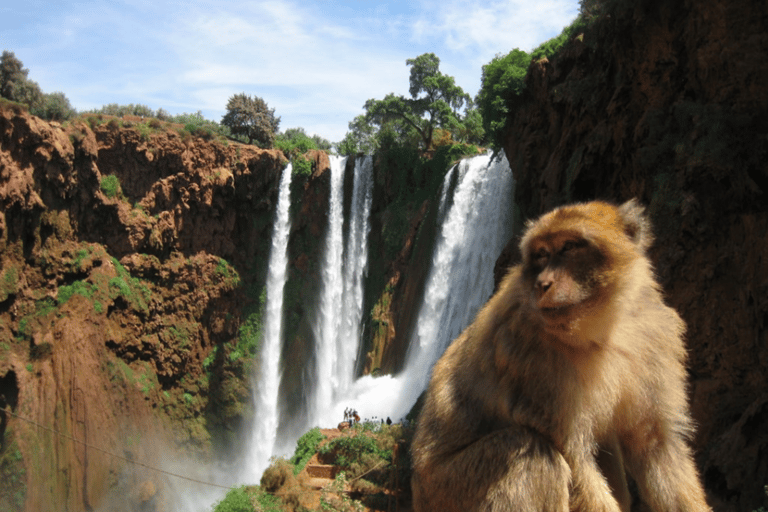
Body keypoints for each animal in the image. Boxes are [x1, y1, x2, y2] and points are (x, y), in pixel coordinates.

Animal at [412, 200, 712, 512]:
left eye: (568, 247)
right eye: (542, 254)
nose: (543, 283)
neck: (601, 328)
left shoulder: (655, 338)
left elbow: (655, 444)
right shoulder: (533, 359)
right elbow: (574, 457)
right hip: (449, 489)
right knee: (531, 454)